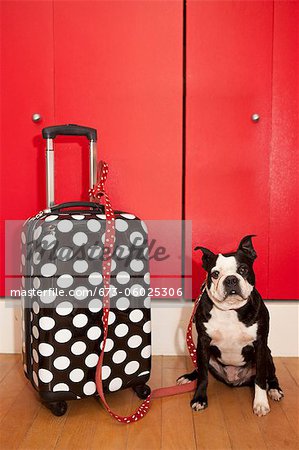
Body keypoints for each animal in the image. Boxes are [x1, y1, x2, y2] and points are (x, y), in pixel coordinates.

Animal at [177, 237, 284, 416]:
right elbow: (203, 376)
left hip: (267, 354)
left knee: (270, 376)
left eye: (243, 269)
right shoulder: (203, 343)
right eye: (215, 274)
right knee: (200, 368)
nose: (231, 279)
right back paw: (188, 377)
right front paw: (199, 398)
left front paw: (260, 403)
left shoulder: (261, 344)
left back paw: (275, 390)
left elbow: (260, 378)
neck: (230, 310)